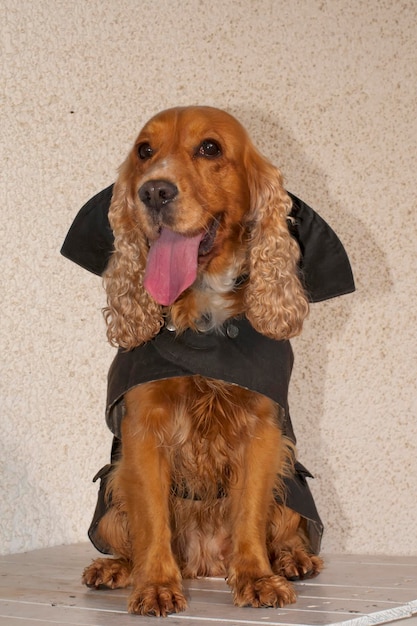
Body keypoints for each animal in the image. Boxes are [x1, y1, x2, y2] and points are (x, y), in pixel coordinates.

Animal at [81, 106, 322, 616]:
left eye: (210, 148)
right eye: (144, 151)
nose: (154, 191)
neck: (202, 316)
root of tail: (205, 564)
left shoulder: (262, 430)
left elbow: (249, 509)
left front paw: (257, 578)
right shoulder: (143, 428)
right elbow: (153, 518)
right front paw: (155, 585)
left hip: (293, 482)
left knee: (288, 528)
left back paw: (293, 559)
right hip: (112, 490)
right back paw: (116, 568)